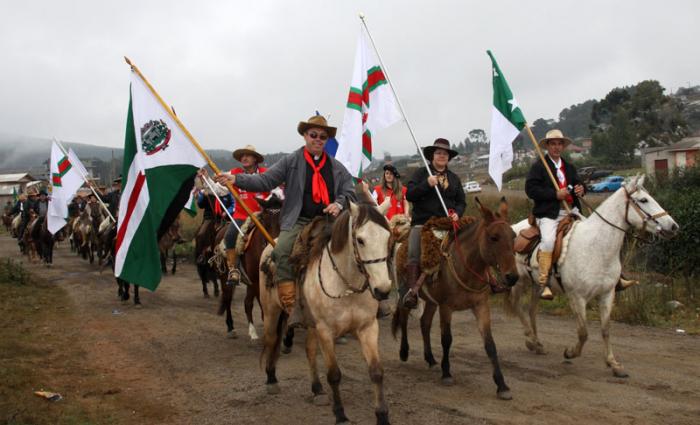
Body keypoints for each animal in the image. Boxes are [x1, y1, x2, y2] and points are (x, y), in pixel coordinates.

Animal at [260, 203, 396, 424]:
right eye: (360, 240)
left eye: (387, 238)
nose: (383, 290)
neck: (345, 284)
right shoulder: (326, 331)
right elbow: (334, 374)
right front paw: (340, 415)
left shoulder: (368, 327)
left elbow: (376, 372)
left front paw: (382, 416)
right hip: (271, 312)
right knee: (272, 341)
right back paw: (271, 379)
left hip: (310, 323)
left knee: (309, 350)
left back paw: (317, 389)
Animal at [394, 197, 520, 400]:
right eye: (493, 237)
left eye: (513, 236)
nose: (512, 277)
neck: (467, 266)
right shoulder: (447, 307)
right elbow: (447, 339)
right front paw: (446, 373)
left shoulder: (481, 306)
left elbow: (490, 344)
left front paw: (502, 385)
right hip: (406, 291)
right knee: (404, 318)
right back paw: (404, 352)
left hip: (431, 301)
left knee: (424, 323)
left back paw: (430, 359)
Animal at [504, 174, 680, 376]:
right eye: (644, 200)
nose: (673, 226)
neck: (596, 248)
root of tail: (513, 227)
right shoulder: (577, 297)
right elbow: (583, 333)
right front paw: (570, 352)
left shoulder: (607, 295)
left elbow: (605, 329)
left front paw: (613, 364)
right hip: (519, 282)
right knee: (518, 306)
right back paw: (530, 340)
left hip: (537, 284)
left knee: (531, 309)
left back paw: (537, 343)